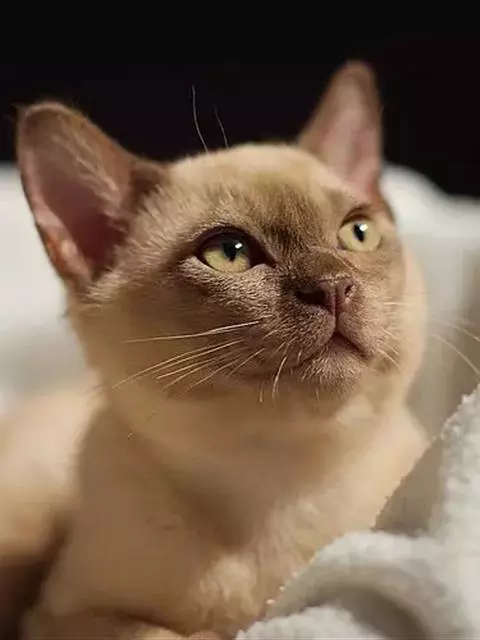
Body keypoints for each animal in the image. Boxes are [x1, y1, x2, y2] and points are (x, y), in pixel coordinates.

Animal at [3, 61, 427, 639]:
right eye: (229, 253)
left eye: (358, 234)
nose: (333, 287)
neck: (277, 489)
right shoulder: (61, 617)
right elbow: (172, 634)